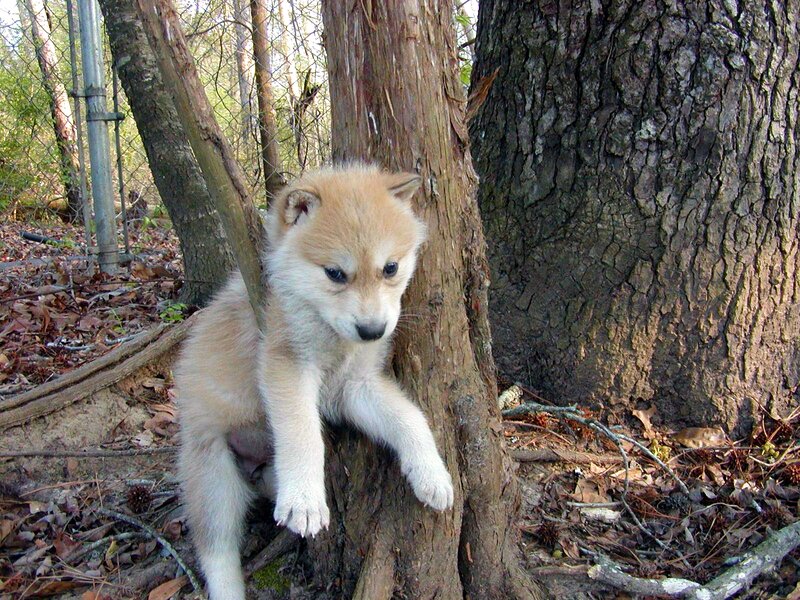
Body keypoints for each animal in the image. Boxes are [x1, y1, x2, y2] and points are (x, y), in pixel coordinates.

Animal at [175, 165, 455, 599]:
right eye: (335, 274)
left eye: (390, 268)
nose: (373, 331)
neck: (327, 330)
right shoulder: (287, 366)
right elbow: (302, 433)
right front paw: (305, 501)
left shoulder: (354, 387)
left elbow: (410, 419)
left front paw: (431, 472)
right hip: (214, 477)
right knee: (216, 552)